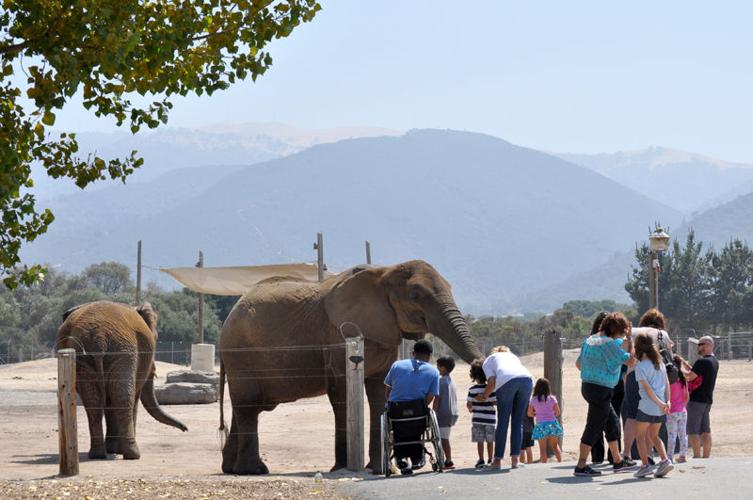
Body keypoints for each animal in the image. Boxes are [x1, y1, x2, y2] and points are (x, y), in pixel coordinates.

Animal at [56, 300, 187, 459]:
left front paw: (112, 449)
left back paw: (98, 454)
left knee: (93, 401)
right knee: (123, 397)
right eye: (155, 338)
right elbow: (131, 397)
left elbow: (108, 401)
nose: (185, 429)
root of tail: (99, 336)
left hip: (89, 355)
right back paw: (132, 454)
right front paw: (116, 449)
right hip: (124, 351)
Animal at [218, 260, 482, 475]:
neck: (382, 272)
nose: (479, 368)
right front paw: (343, 469)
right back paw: (254, 470)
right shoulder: (339, 335)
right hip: (240, 355)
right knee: (247, 407)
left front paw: (379, 469)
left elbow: (379, 393)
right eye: (415, 295)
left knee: (244, 409)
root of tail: (227, 321)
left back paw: (232, 470)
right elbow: (341, 391)